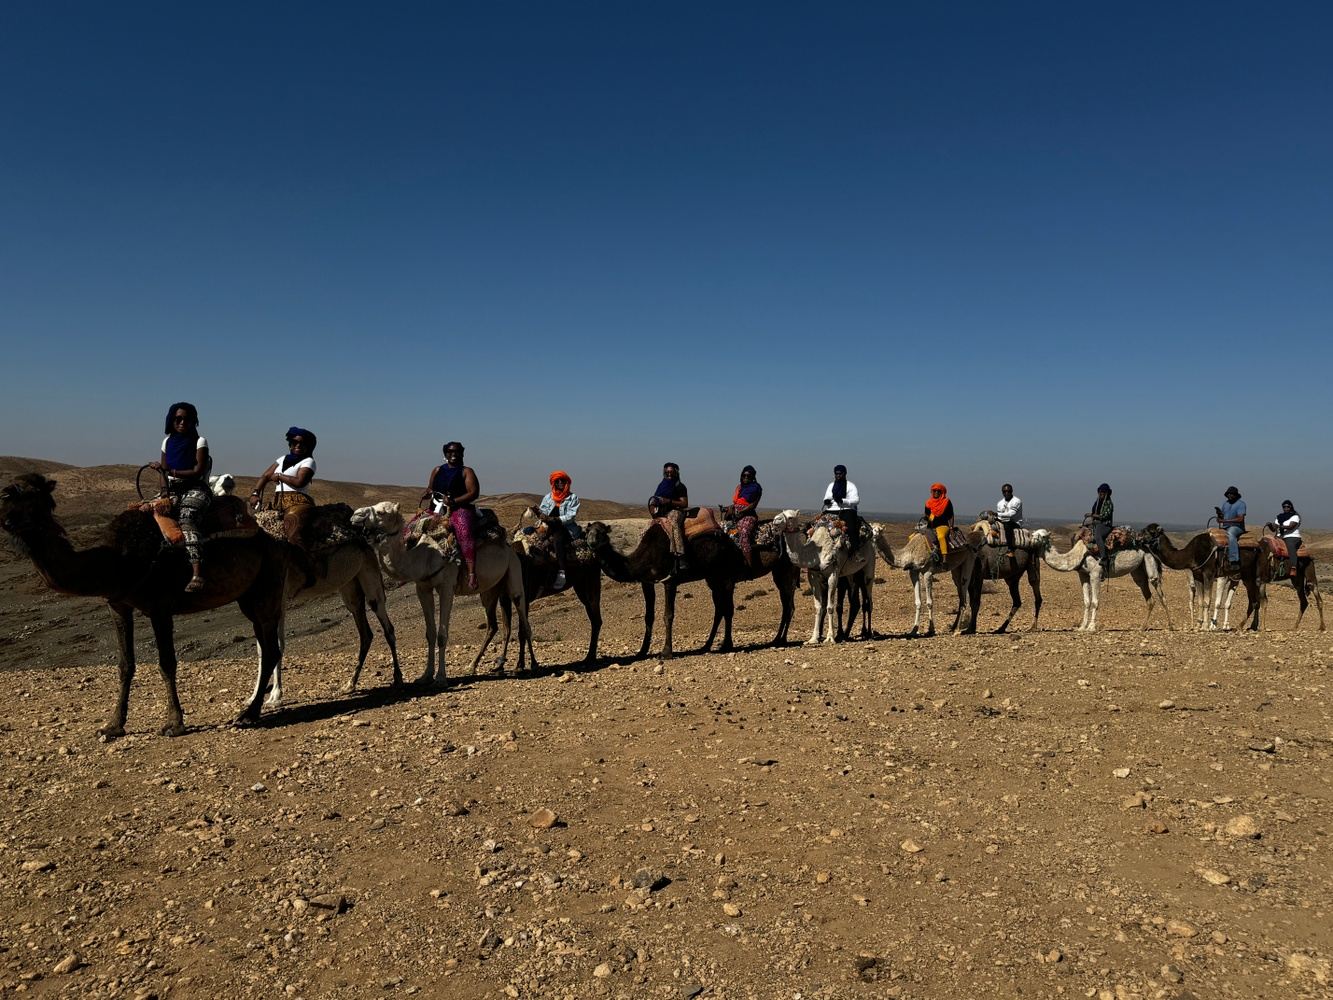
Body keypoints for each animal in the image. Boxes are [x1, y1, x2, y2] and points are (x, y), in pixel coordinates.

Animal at [0, 474, 291, 741]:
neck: (118, 561)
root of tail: (275, 540)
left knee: (271, 649)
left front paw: (174, 724)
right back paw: (252, 709)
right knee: (267, 647)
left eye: (29, 494)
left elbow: (167, 663)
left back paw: (248, 714)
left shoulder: (160, 607)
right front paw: (112, 726)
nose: (5, 515)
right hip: (250, 598)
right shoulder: (118, 605)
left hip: (266, 590)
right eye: (7, 491)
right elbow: (125, 664)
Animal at [349, 504, 530, 688]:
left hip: (514, 570)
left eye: (381, 512)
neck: (423, 557)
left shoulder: (446, 586)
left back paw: (526, 665)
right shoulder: (423, 588)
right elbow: (430, 633)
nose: (355, 515)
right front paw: (425, 676)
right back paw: (475, 666)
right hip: (490, 590)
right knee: (493, 624)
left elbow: (442, 635)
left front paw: (441, 678)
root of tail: (508, 543)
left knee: (523, 616)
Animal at [581, 520, 789, 661]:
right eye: (587, 531)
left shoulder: (670, 580)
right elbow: (649, 616)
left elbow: (668, 615)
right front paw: (642, 651)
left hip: (726, 575)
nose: (591, 543)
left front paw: (666, 652)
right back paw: (707, 645)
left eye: (601, 533)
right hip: (713, 578)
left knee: (729, 609)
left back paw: (728, 645)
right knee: (721, 609)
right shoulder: (646, 581)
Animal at [773, 512, 874, 645]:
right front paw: (813, 638)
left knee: (869, 599)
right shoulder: (813, 576)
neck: (816, 551)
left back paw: (868, 633)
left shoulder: (833, 574)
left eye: (791, 517)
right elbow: (818, 607)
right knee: (855, 602)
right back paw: (846, 635)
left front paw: (830, 637)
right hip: (852, 574)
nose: (775, 520)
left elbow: (830, 607)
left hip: (869, 566)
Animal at [1039, 541, 1167, 634]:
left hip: (1149, 561)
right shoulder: (1083, 575)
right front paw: (1082, 627)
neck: (1080, 554)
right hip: (1138, 570)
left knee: (1159, 589)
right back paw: (1142, 627)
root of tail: (1148, 548)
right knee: (1148, 595)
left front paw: (1091, 628)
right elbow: (1086, 601)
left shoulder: (1096, 574)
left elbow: (1095, 602)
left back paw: (1169, 626)